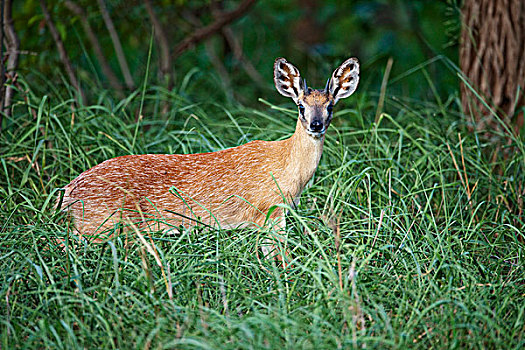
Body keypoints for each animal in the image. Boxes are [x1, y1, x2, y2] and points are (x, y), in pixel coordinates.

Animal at [58, 57, 360, 258]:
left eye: (330, 106)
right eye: (300, 106)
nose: (316, 125)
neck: (288, 167)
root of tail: (68, 191)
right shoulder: (268, 209)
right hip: (100, 223)